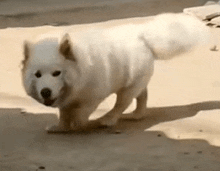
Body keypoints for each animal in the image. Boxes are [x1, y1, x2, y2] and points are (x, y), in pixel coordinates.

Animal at [21, 13, 210, 134]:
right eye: (37, 75)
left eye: (56, 73)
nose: (45, 91)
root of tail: (142, 35)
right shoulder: (65, 99)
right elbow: (64, 113)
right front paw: (61, 127)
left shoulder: (93, 96)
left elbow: (80, 114)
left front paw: (80, 123)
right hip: (136, 80)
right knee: (142, 95)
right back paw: (137, 115)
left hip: (127, 86)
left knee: (122, 104)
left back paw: (108, 120)